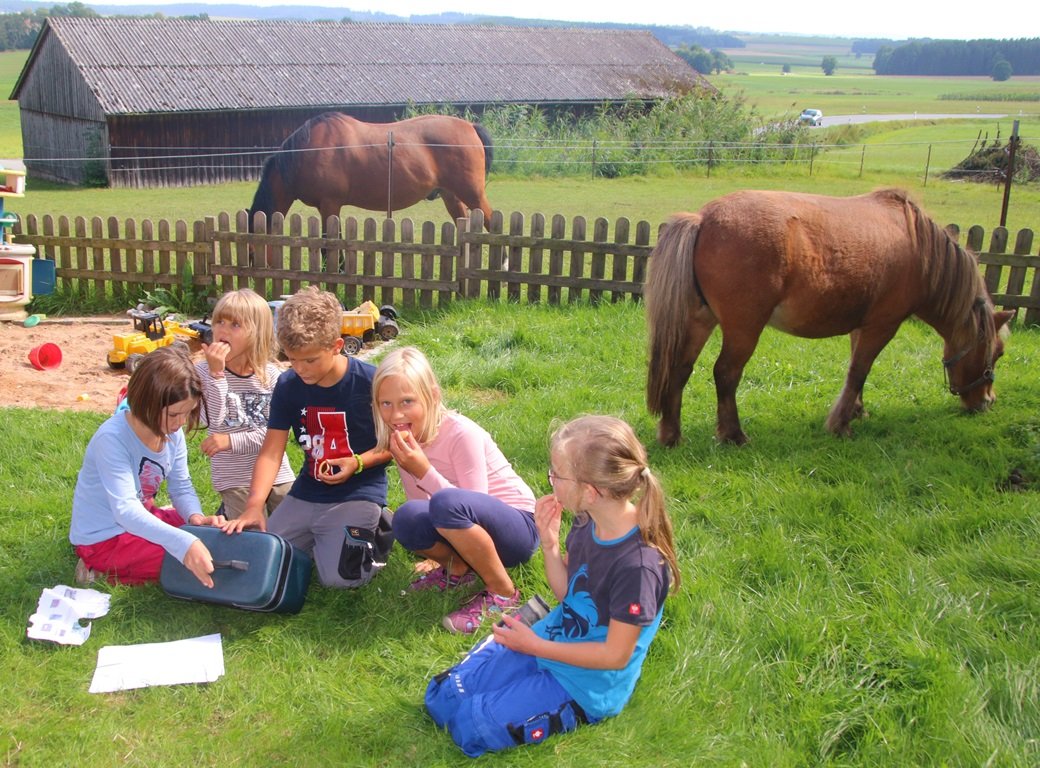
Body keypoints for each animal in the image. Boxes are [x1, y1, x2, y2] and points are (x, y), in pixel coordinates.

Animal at [645, 188, 1015, 446]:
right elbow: (859, 371)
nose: (987, 401)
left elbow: (856, 370)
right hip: (743, 329)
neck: (920, 250)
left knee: (680, 370)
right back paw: (733, 434)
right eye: (997, 353)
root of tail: (703, 218)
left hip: (699, 321)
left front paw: (856, 410)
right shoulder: (882, 325)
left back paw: (672, 435)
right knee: (725, 374)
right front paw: (840, 424)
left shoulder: (860, 327)